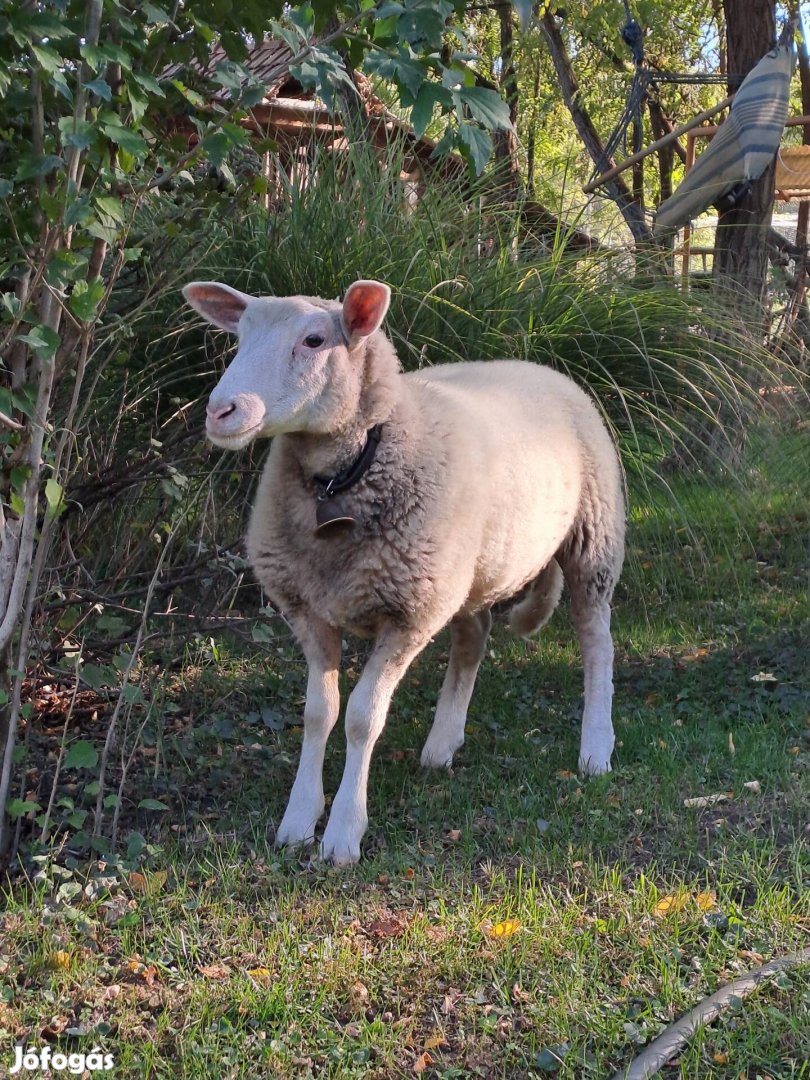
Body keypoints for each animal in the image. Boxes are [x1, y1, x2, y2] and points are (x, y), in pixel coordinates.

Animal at [185, 280, 626, 868]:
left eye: (314, 340)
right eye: (241, 335)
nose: (221, 411)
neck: (348, 474)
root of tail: (537, 366)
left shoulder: (408, 616)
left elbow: (361, 717)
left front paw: (344, 832)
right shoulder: (309, 609)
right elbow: (318, 713)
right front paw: (299, 819)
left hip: (592, 539)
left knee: (596, 641)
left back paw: (595, 747)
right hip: (464, 572)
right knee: (473, 637)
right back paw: (442, 743)